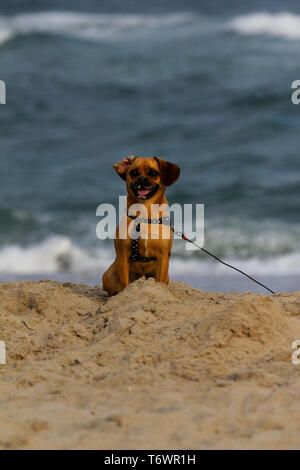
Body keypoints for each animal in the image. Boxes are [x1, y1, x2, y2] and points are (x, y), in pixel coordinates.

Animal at [102, 156, 179, 296]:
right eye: (134, 172)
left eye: (153, 173)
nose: (142, 179)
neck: (145, 215)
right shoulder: (123, 254)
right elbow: (125, 282)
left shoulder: (163, 257)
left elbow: (160, 281)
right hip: (108, 275)